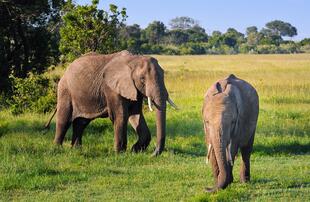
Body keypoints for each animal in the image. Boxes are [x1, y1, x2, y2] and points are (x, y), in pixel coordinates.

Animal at [46, 51, 177, 156]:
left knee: (81, 123)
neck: (134, 59)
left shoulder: (134, 89)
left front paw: (134, 151)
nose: (153, 154)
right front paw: (120, 154)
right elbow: (121, 116)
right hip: (65, 90)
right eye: (142, 79)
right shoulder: (111, 89)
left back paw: (76, 150)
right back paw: (57, 149)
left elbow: (135, 115)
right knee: (64, 120)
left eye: (163, 75)